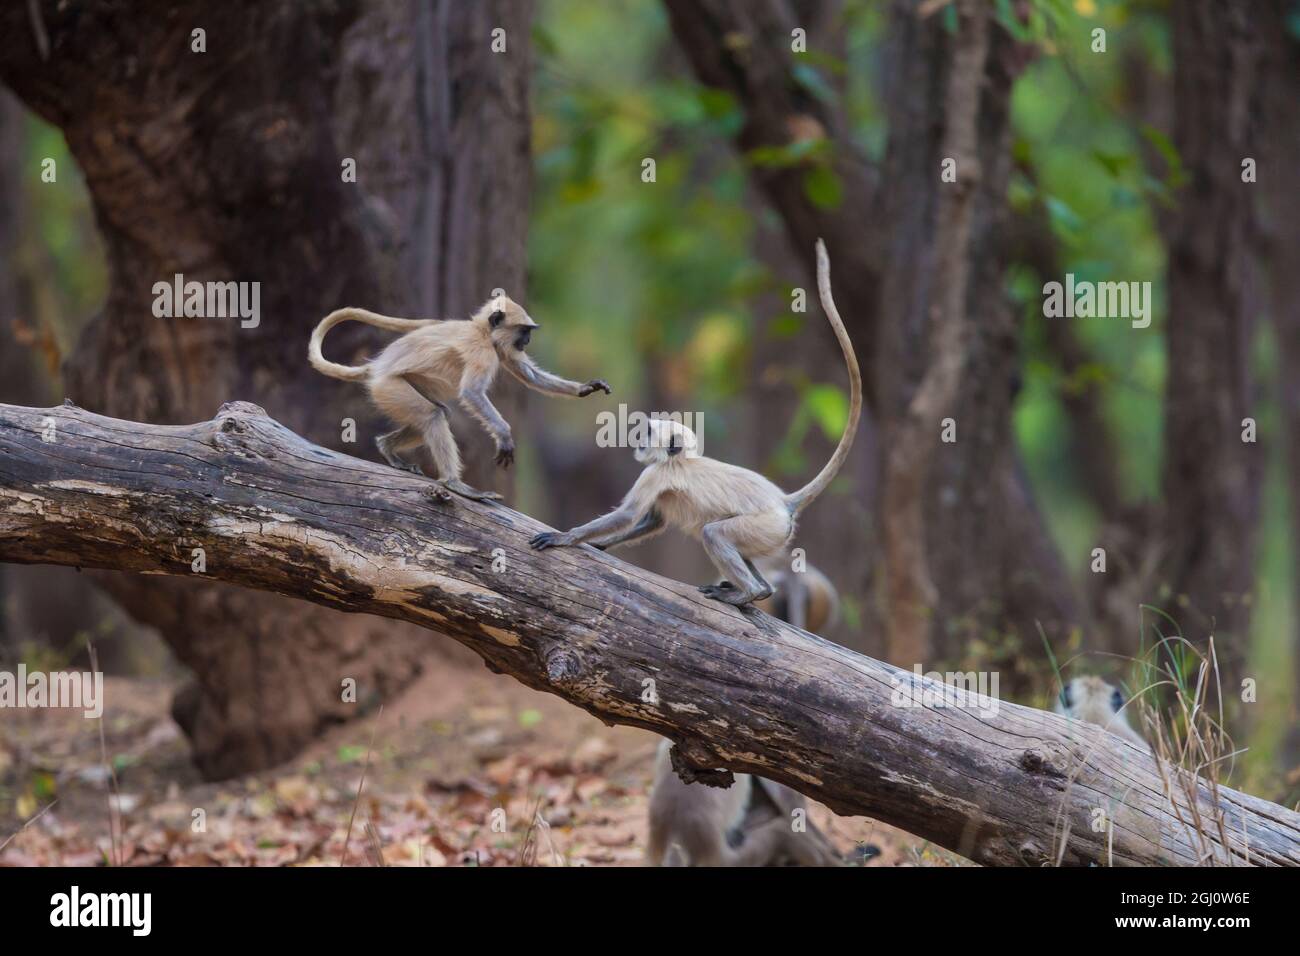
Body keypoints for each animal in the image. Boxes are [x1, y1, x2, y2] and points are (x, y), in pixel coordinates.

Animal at [309, 295, 608, 504]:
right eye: (524, 330)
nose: (528, 340)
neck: (482, 331)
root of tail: (375, 369)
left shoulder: (498, 347)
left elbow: (528, 375)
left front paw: (584, 388)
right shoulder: (481, 349)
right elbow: (472, 392)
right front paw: (504, 436)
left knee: (440, 412)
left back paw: (387, 447)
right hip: (389, 388)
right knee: (433, 415)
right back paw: (453, 483)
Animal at [522, 239, 857, 606]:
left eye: (647, 432)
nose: (637, 440)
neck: (680, 460)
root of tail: (783, 501)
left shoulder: (655, 473)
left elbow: (628, 515)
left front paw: (566, 538)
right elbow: (653, 520)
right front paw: (597, 543)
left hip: (762, 525)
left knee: (713, 533)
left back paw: (747, 593)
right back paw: (761, 591)